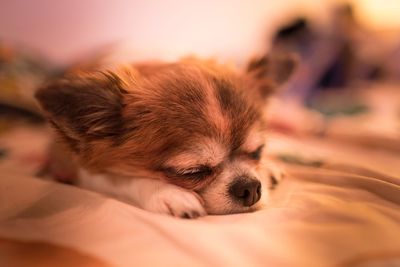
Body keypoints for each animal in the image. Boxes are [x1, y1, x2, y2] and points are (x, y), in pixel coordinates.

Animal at [35, 53, 294, 219]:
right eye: (192, 172)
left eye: (258, 152)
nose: (250, 188)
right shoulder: (78, 167)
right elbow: (121, 179)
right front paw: (168, 193)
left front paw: (268, 166)